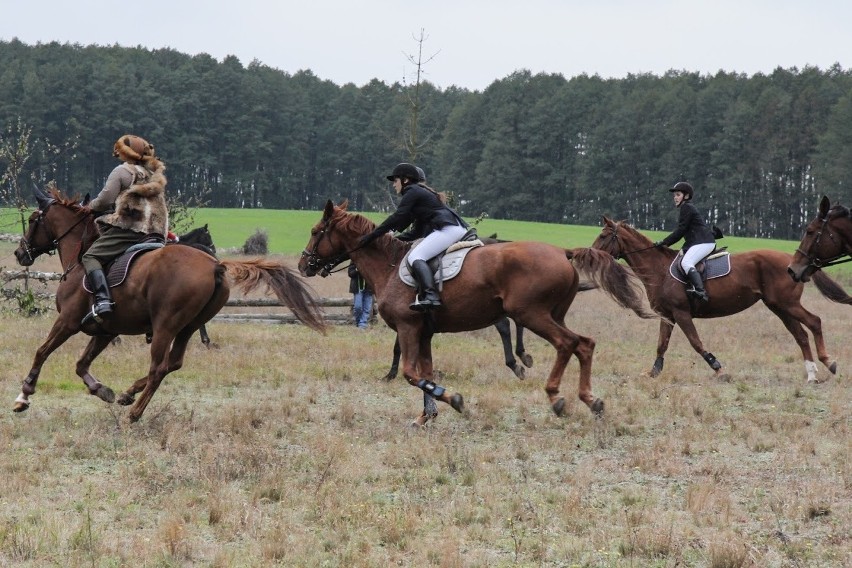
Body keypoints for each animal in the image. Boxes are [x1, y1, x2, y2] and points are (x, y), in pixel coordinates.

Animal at [15, 187, 330, 422]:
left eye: (32, 220)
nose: (20, 253)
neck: (81, 257)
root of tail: (215, 265)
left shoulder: (67, 322)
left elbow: (42, 351)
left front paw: (24, 395)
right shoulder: (105, 331)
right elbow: (81, 364)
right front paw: (101, 389)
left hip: (165, 325)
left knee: (159, 368)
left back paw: (135, 413)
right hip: (185, 327)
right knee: (172, 363)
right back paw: (129, 393)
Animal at [300, 200, 660, 426]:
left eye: (317, 231)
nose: (305, 264)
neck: (389, 265)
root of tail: (563, 252)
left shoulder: (407, 328)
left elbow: (412, 374)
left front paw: (452, 400)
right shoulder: (424, 332)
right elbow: (425, 374)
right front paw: (426, 416)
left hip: (532, 314)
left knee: (567, 344)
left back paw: (555, 396)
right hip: (553, 314)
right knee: (584, 344)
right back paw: (590, 399)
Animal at [592, 215, 852, 384]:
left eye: (604, 235)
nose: (589, 255)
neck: (659, 269)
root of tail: (793, 261)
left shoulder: (681, 313)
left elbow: (696, 343)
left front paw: (718, 369)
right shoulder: (668, 315)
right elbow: (661, 344)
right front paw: (653, 372)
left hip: (788, 304)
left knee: (814, 322)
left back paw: (828, 363)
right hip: (779, 307)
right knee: (801, 335)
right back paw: (812, 374)